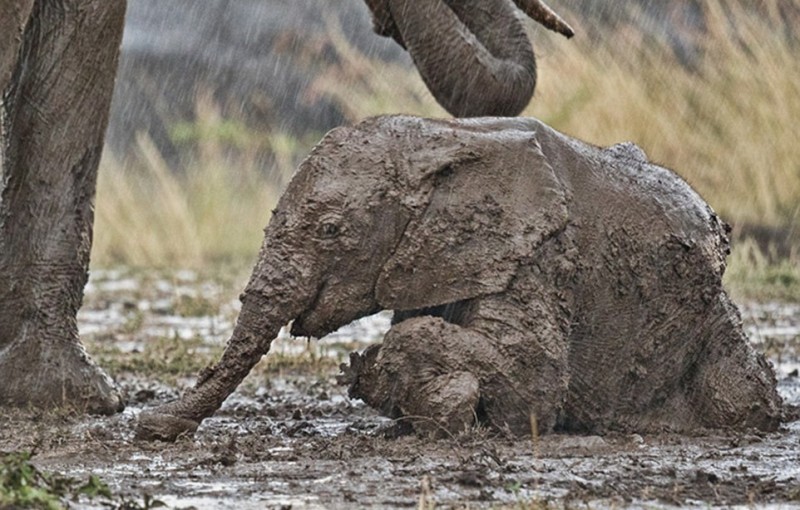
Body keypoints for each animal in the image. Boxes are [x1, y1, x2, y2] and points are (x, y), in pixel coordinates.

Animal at [136, 115, 780, 442]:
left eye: (331, 230)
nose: (151, 426)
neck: (446, 135)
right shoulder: (434, 260)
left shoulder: (541, 254)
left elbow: (534, 387)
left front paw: (380, 374)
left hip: (709, 324)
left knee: (739, 397)